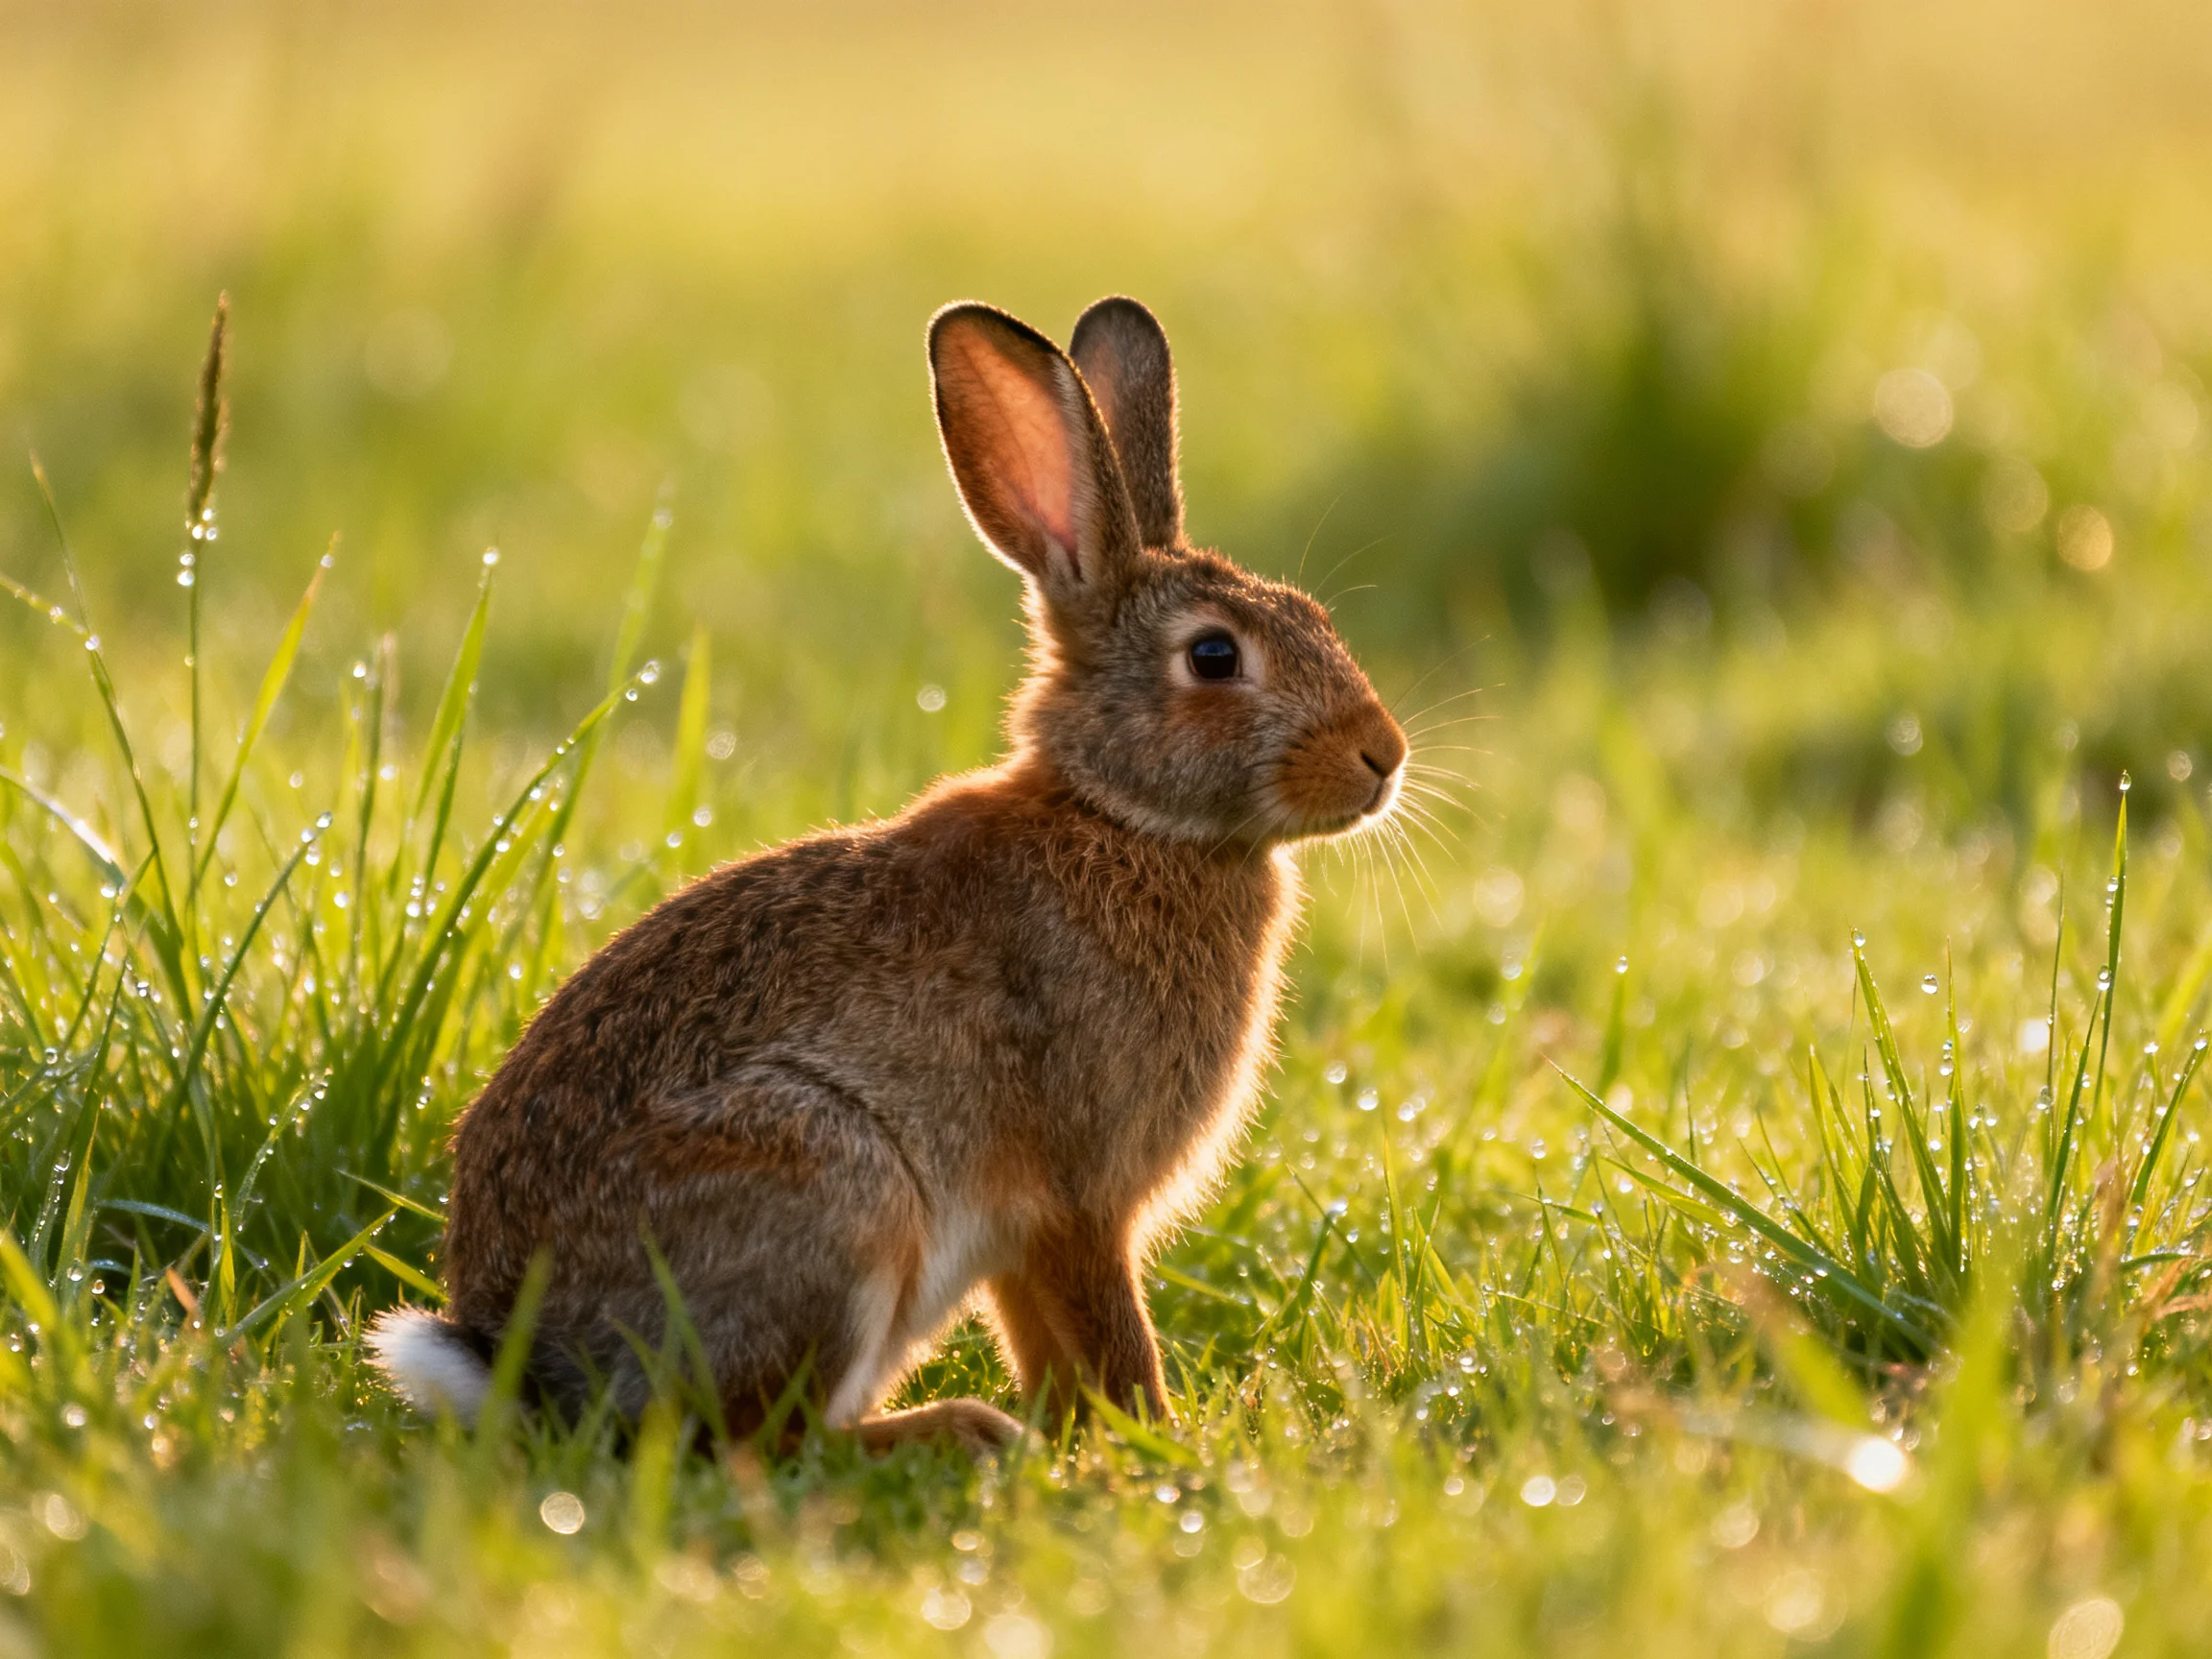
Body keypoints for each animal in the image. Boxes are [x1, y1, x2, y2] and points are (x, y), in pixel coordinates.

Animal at [368, 296, 1407, 1452]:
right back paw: (955, 1430)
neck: (1126, 821)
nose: (1384, 756)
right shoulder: (1079, 1195)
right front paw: (1157, 1443)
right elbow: (1112, 1331)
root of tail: (532, 1369)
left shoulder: (1024, 1236)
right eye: (1216, 657)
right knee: (759, 1443)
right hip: (836, 1191)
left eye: (1316, 619)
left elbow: (1051, 1342)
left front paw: (1082, 1439)